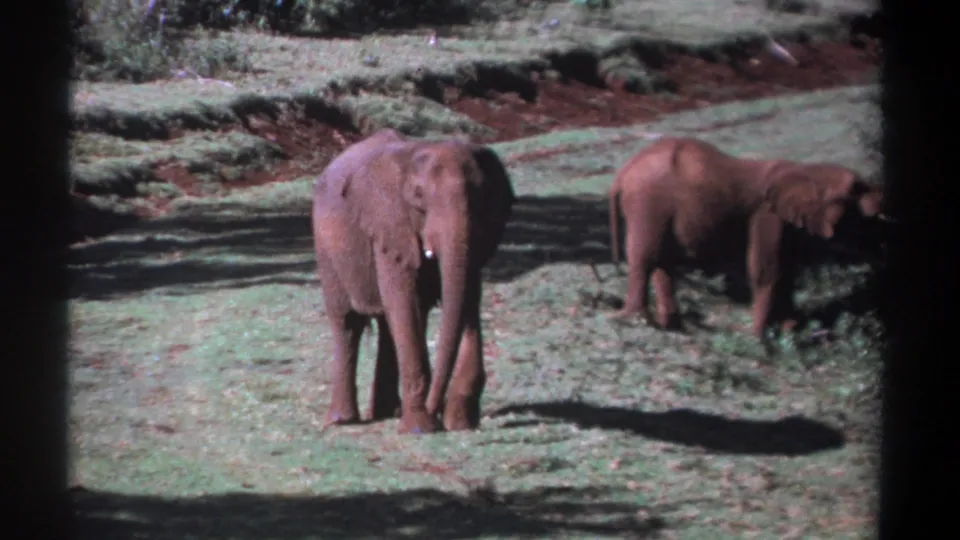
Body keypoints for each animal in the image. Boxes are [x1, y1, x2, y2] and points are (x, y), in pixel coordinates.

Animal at [311, 129, 516, 434]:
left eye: (481, 196)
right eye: (418, 196)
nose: (436, 408)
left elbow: (467, 297)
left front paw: (460, 423)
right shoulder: (389, 226)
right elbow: (404, 302)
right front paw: (421, 428)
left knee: (387, 324)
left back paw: (387, 412)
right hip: (327, 250)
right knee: (348, 323)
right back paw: (342, 420)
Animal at [607, 136, 888, 339]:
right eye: (855, 190)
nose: (881, 205)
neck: (805, 171)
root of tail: (624, 172)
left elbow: (788, 269)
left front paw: (790, 331)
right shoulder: (767, 215)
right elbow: (767, 269)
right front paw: (758, 338)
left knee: (664, 262)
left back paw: (675, 328)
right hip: (648, 202)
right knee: (646, 258)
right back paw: (636, 320)